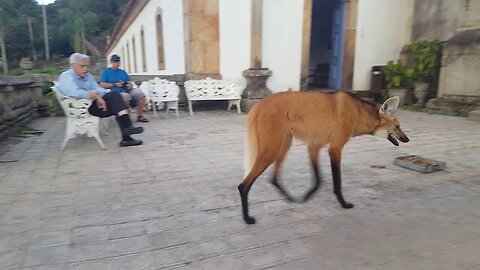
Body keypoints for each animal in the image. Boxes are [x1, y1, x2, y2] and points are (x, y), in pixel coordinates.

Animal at [237, 90, 408, 224]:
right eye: (398, 126)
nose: (407, 139)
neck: (358, 113)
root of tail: (259, 104)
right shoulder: (335, 149)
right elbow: (336, 182)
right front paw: (344, 203)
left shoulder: (314, 145)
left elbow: (318, 180)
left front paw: (306, 197)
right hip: (271, 150)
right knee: (243, 185)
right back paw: (247, 218)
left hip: (283, 144)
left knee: (273, 178)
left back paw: (291, 198)